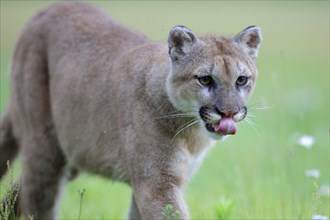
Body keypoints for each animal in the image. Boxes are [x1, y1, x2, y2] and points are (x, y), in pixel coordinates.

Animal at [0, 1, 262, 220]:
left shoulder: (152, 182)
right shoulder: (156, 182)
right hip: (45, 148)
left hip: (72, 151)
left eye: (241, 80)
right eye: (205, 79)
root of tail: (45, 10)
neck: (192, 134)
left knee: (16, 193)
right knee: (36, 199)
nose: (229, 113)